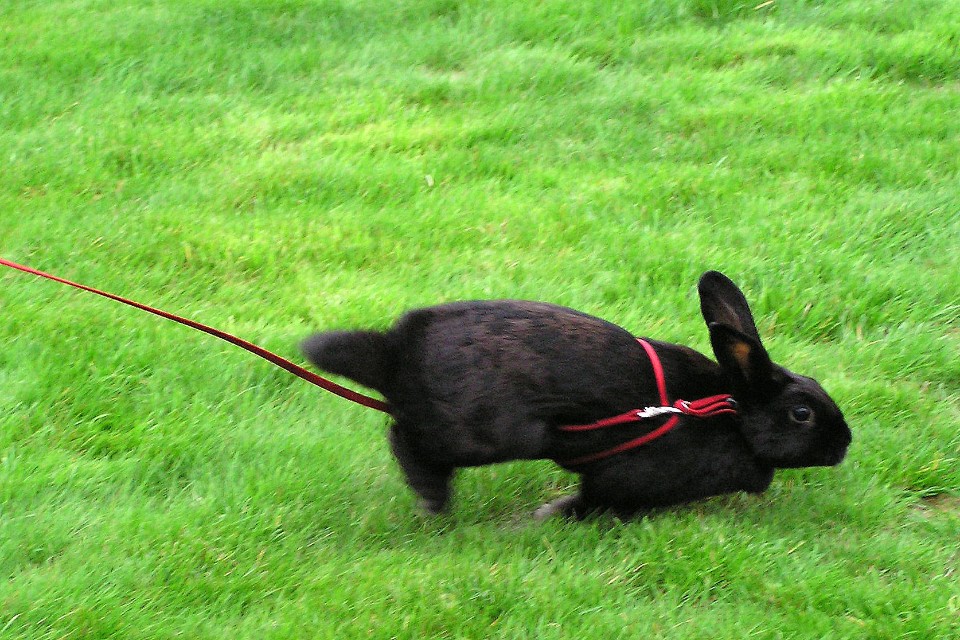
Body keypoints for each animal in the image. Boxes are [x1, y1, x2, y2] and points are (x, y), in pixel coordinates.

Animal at [300, 271, 851, 519]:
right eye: (801, 413)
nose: (845, 444)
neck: (732, 414)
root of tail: (397, 349)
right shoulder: (623, 481)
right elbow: (592, 502)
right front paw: (547, 518)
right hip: (492, 434)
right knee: (407, 440)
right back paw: (435, 503)